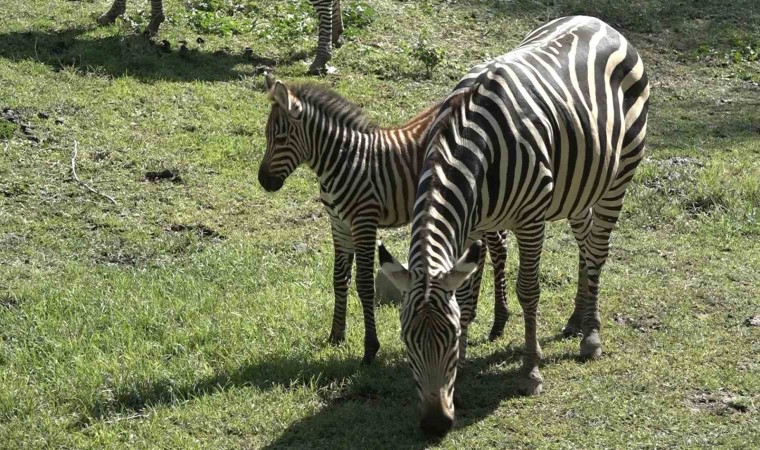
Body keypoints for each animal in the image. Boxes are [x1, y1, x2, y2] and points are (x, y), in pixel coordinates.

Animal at [258, 73, 512, 366]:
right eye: (267, 135)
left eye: (281, 137)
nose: (263, 181)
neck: (343, 160)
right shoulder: (339, 224)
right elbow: (338, 278)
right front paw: (336, 335)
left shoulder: (364, 222)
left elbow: (364, 284)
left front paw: (370, 349)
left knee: (498, 248)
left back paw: (499, 323)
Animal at [378, 15, 648, 438]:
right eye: (406, 342)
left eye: (449, 340)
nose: (436, 424)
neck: (470, 147)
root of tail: (600, 22)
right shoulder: (470, 228)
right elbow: (466, 300)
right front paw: (464, 374)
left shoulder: (530, 219)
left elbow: (528, 291)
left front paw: (530, 371)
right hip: (579, 185)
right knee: (586, 240)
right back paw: (577, 318)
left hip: (618, 177)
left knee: (598, 252)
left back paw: (590, 335)